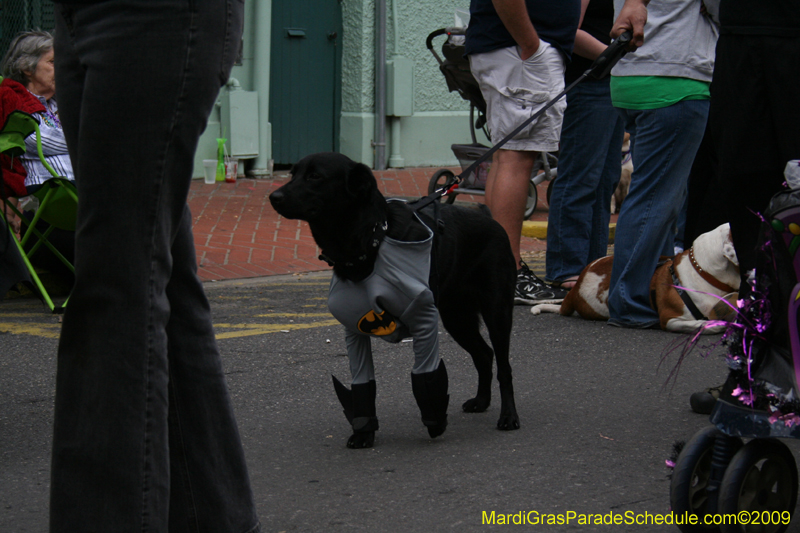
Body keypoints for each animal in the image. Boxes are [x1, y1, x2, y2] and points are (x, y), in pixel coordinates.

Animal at [268, 152, 520, 446]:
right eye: (293, 174)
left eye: (315, 176)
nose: (274, 196)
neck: (370, 243)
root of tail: (490, 218)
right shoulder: (355, 330)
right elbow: (363, 385)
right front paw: (363, 433)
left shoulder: (424, 321)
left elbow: (426, 378)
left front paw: (435, 423)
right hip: (458, 319)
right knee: (484, 354)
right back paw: (481, 401)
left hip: (496, 312)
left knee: (504, 366)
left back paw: (508, 416)